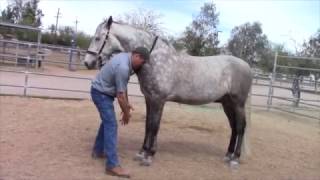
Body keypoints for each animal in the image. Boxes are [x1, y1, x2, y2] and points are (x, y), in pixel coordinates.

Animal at [84, 16, 252, 167]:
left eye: (98, 38)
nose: (87, 62)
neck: (154, 60)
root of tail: (247, 66)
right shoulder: (150, 99)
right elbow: (148, 124)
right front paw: (142, 152)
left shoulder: (158, 100)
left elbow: (154, 126)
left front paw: (148, 155)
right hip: (227, 103)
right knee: (233, 127)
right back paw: (228, 155)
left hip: (238, 104)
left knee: (240, 127)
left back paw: (235, 159)